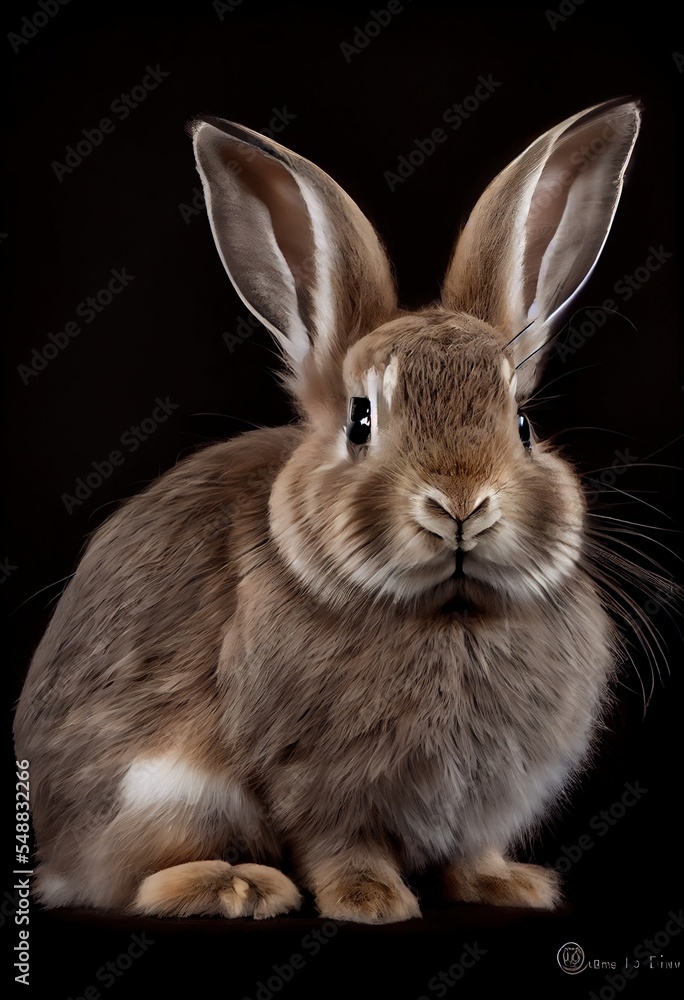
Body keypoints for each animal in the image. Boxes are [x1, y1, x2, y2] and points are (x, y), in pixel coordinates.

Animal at [14, 97, 642, 924]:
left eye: (523, 424)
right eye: (361, 421)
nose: (461, 503)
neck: (449, 614)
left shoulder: (487, 802)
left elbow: (472, 849)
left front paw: (508, 886)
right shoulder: (314, 784)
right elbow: (337, 843)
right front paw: (370, 901)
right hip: (166, 796)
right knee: (132, 877)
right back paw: (240, 886)